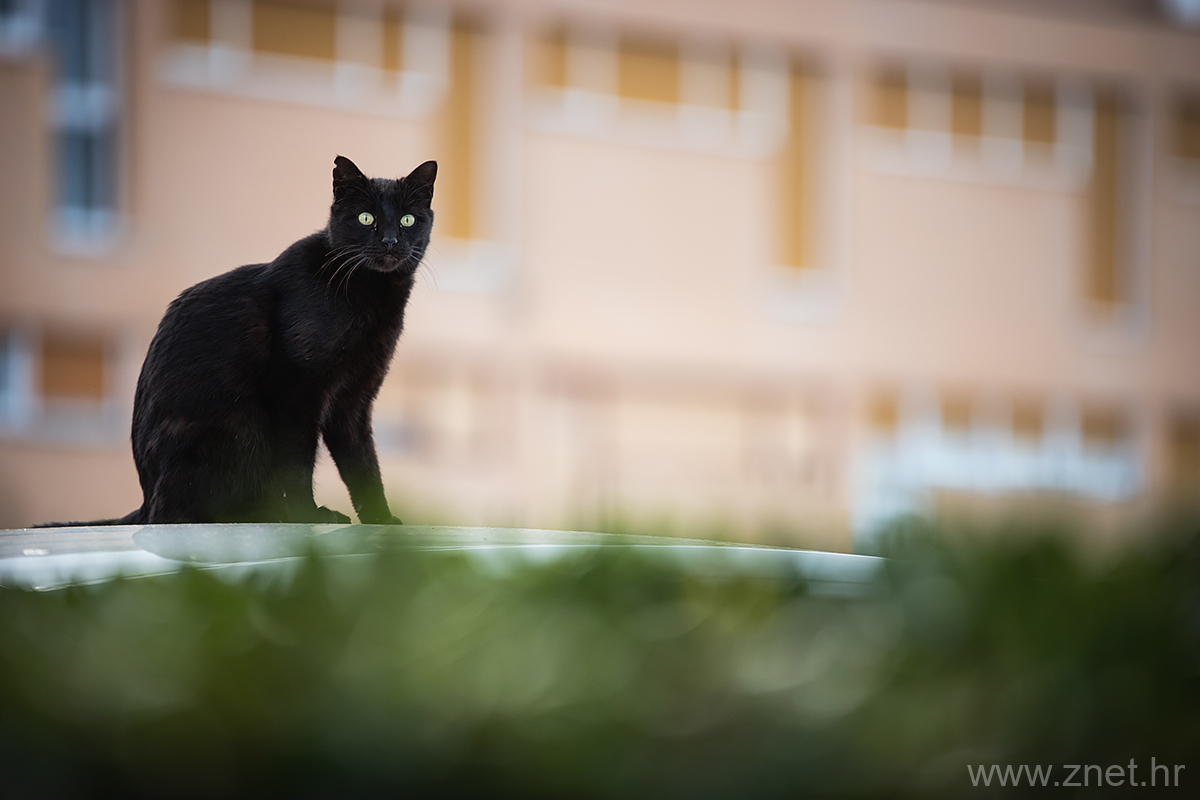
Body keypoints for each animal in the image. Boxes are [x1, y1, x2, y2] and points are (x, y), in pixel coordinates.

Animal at [41, 156, 435, 526]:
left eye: (407, 220)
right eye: (366, 218)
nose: (389, 241)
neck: (372, 298)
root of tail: (145, 500)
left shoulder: (353, 402)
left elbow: (363, 466)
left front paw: (383, 520)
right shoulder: (295, 392)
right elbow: (297, 462)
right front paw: (308, 514)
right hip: (243, 428)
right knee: (181, 513)